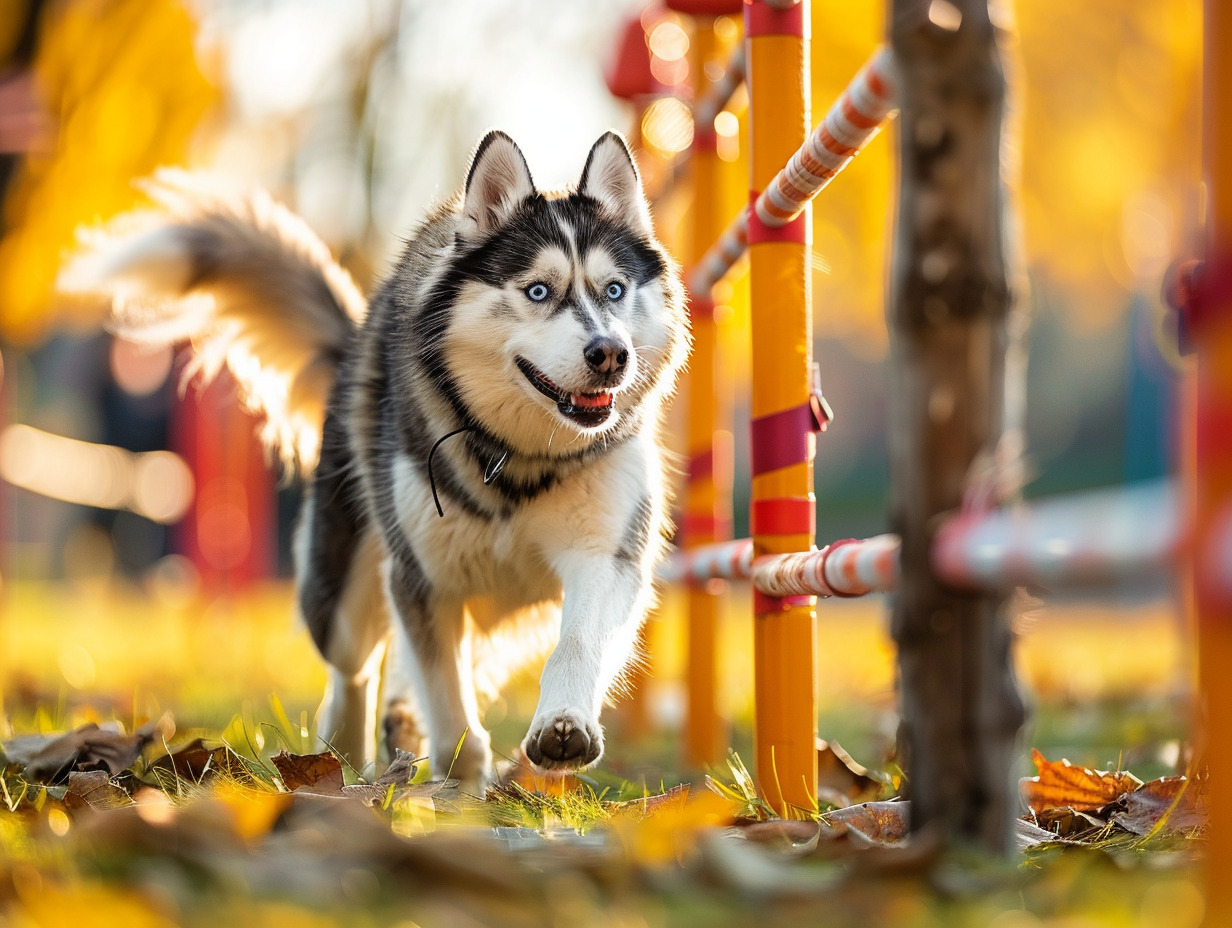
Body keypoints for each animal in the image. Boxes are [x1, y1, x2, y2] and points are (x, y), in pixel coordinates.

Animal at [64, 130, 694, 783]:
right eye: (538, 291)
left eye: (614, 290)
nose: (611, 353)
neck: (516, 458)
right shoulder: (422, 577)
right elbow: (447, 700)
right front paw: (461, 777)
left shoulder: (607, 556)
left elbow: (577, 642)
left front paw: (562, 726)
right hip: (342, 586)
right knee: (355, 666)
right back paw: (339, 756)